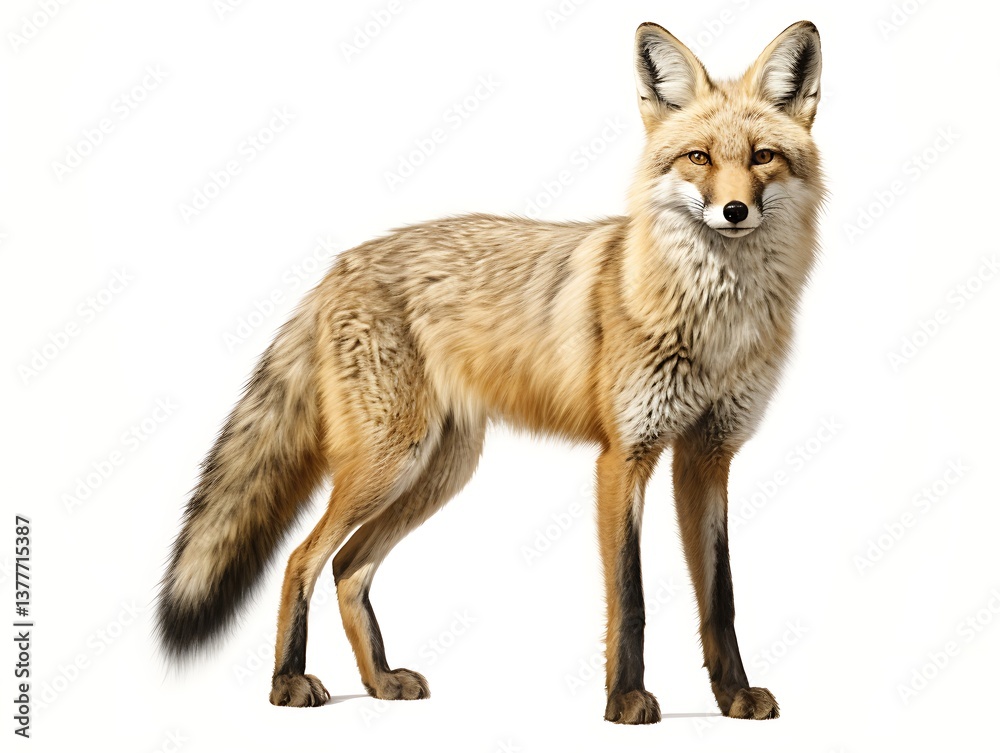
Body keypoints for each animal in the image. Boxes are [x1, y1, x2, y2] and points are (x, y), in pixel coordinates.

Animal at [156, 20, 824, 724]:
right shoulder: (624, 455)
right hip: (388, 462)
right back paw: (287, 682)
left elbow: (720, 598)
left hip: (439, 471)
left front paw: (733, 696)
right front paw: (625, 699)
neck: (716, 325)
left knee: (348, 567)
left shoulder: (708, 453)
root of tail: (339, 264)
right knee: (300, 559)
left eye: (763, 157)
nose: (734, 212)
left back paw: (380, 681)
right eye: (698, 158)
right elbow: (631, 598)